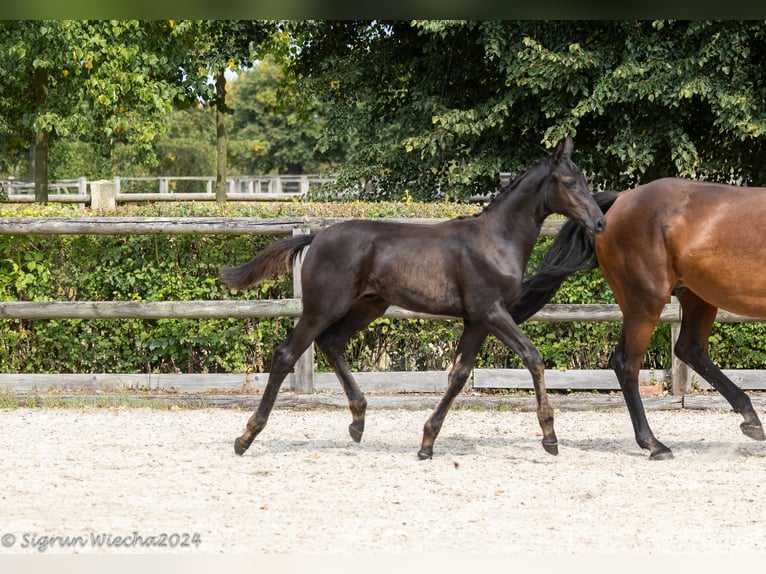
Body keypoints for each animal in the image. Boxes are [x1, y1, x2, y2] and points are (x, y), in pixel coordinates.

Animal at [220, 137, 608, 462]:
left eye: (585, 181)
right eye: (570, 183)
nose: (600, 222)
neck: (497, 240)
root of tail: (316, 238)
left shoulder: (476, 320)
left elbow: (458, 374)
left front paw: (427, 442)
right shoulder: (492, 312)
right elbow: (533, 357)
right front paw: (550, 437)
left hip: (368, 305)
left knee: (332, 343)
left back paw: (358, 421)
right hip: (322, 307)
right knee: (287, 354)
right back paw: (246, 436)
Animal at [512, 178, 766, 462]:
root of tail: (622, 199)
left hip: (694, 297)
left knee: (689, 350)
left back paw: (750, 419)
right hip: (647, 301)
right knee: (627, 363)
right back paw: (654, 444)